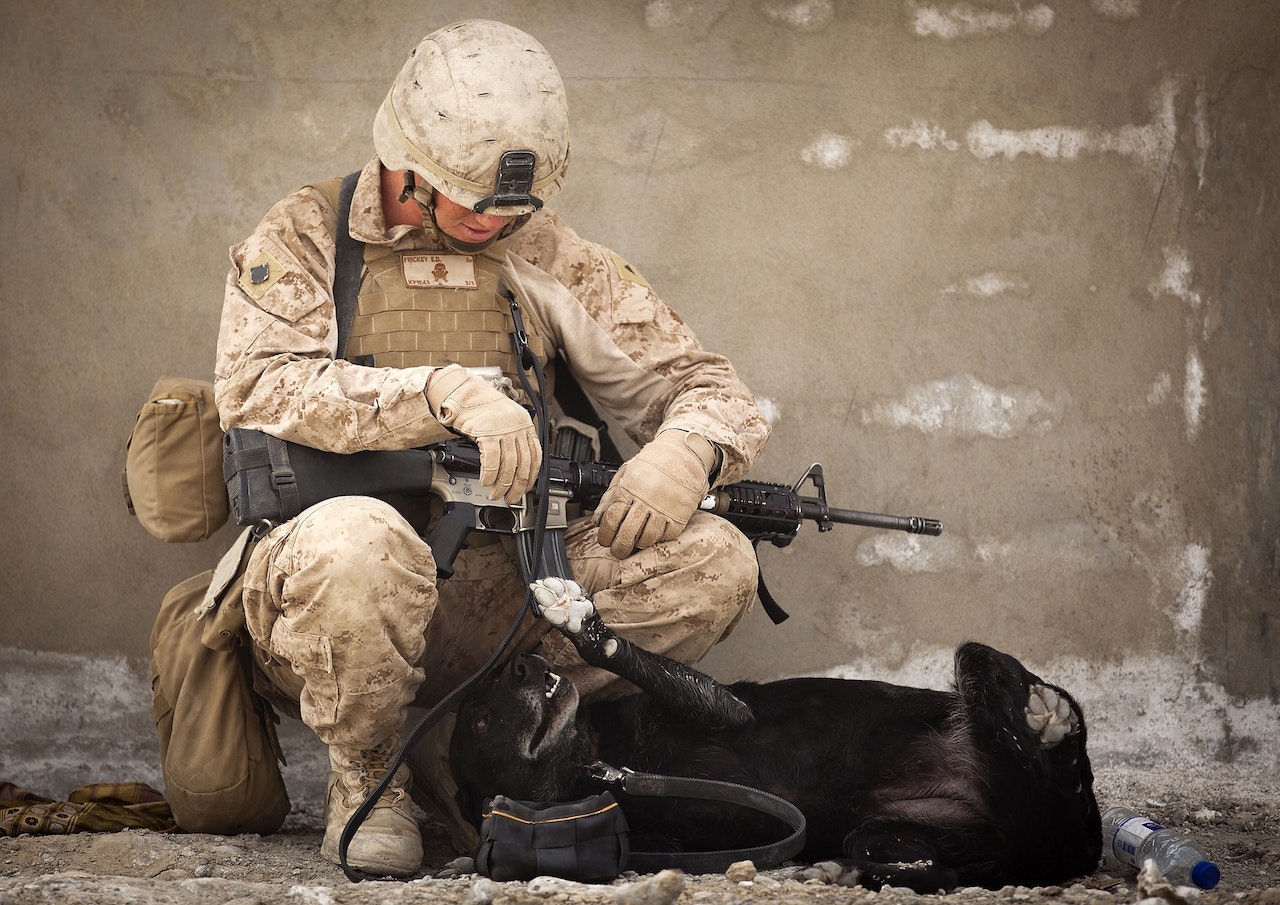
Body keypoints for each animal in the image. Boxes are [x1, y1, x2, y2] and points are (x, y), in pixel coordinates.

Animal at [450, 581, 1100, 890]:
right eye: (479, 721)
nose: (523, 663)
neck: (597, 762)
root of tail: (1062, 850)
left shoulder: (728, 713)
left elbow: (630, 657)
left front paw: (580, 622)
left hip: (976, 667)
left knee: (1053, 761)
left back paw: (1050, 724)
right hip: (887, 831)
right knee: (939, 866)